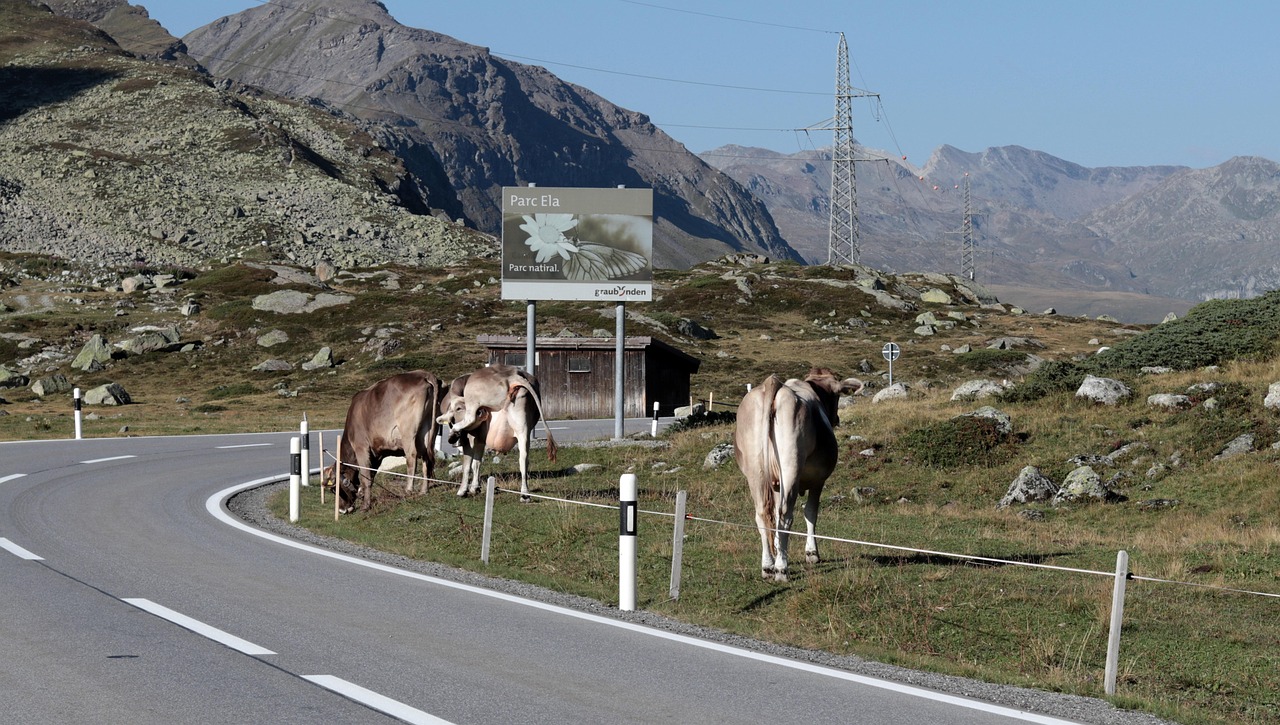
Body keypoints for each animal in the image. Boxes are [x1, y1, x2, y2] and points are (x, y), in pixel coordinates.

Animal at [327, 371, 442, 514]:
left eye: (334, 489)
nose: (341, 510)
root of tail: (422, 374)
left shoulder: (361, 447)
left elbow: (365, 476)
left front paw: (365, 506)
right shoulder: (377, 454)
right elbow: (372, 475)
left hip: (408, 432)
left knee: (412, 457)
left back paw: (408, 490)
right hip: (428, 431)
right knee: (427, 458)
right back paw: (423, 490)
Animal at [437, 366, 558, 502]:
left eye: (458, 408)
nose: (481, 412)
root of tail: (513, 374)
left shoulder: (469, 438)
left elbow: (468, 465)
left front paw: (463, 490)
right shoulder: (480, 439)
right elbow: (477, 462)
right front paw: (475, 487)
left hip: (473, 397)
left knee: (470, 418)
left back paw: (454, 431)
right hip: (523, 429)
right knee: (524, 459)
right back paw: (525, 494)